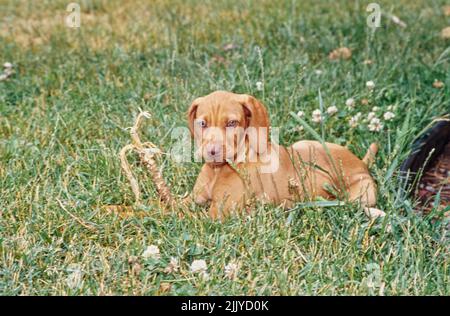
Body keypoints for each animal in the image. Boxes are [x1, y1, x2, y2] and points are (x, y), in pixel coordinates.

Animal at [186, 90, 380, 220]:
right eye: (202, 123)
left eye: (232, 123)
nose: (212, 152)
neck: (217, 170)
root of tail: (361, 163)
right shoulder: (194, 198)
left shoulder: (218, 211)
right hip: (302, 144)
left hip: (360, 194)